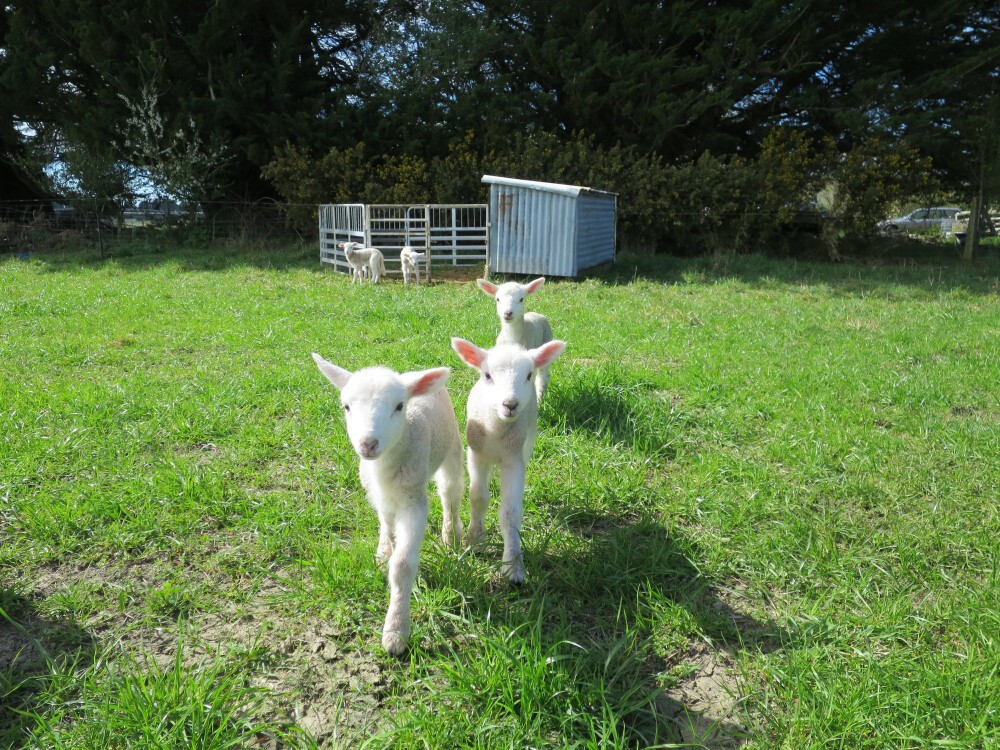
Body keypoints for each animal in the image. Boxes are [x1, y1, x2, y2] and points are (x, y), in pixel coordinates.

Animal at [312, 356, 464, 656]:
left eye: (399, 406)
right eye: (347, 406)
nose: (368, 444)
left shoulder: (414, 502)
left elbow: (402, 565)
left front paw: (395, 631)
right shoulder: (378, 492)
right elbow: (388, 528)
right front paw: (386, 551)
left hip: (452, 449)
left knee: (449, 494)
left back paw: (451, 535)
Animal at [452, 336, 568, 588]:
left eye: (529, 375)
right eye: (487, 375)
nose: (510, 404)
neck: (496, 431)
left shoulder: (514, 461)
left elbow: (510, 512)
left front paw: (513, 565)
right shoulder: (476, 454)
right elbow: (478, 498)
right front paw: (475, 541)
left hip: (528, 439)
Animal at [476, 278, 556, 406]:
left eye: (521, 299)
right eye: (498, 299)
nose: (508, 313)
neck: (513, 337)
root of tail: (536, 313)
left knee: (543, 376)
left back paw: (540, 399)